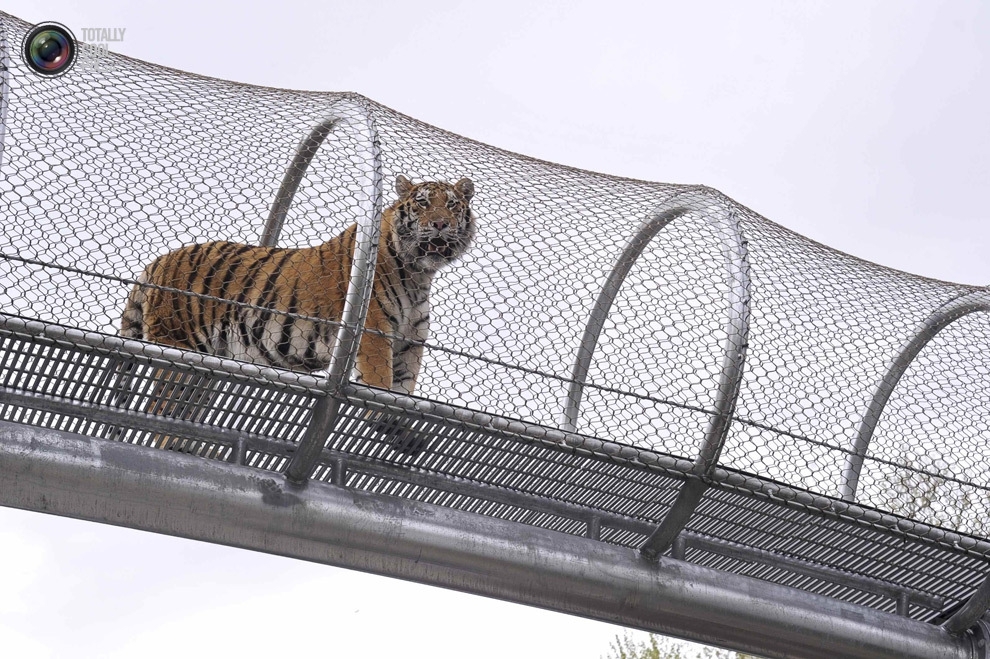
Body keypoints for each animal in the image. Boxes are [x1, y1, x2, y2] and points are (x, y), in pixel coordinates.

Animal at [120, 175, 476, 452]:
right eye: (423, 204)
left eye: (452, 205)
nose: (440, 224)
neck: (419, 275)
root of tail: (159, 261)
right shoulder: (374, 334)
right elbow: (381, 385)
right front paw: (383, 419)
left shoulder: (409, 344)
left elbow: (402, 391)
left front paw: (403, 434)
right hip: (180, 351)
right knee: (162, 406)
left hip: (205, 365)